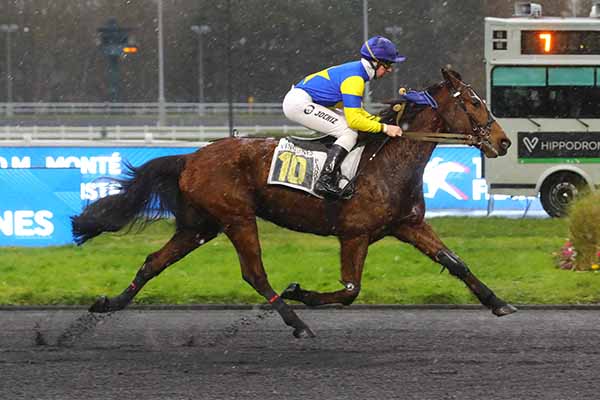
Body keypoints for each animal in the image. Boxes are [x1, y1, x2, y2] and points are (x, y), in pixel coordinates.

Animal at [72, 69, 516, 338]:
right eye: (473, 103)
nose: (503, 141)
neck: (388, 160)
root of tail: (191, 156)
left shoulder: (408, 225)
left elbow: (455, 263)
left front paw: (499, 303)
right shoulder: (354, 235)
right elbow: (350, 290)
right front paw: (300, 291)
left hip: (200, 225)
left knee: (153, 261)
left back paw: (109, 303)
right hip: (237, 218)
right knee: (254, 273)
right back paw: (297, 321)